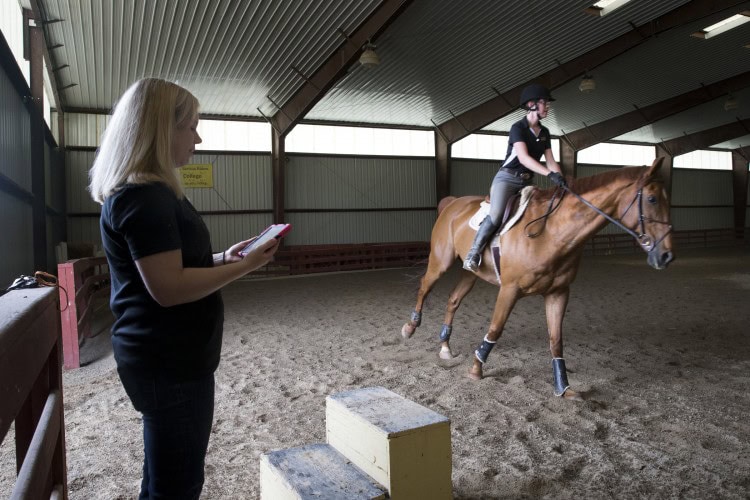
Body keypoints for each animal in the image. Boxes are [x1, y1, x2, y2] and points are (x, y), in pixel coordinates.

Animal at [406, 158, 676, 400]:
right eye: (652, 199)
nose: (666, 256)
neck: (551, 232)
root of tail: (453, 203)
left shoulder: (558, 293)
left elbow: (556, 341)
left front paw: (563, 387)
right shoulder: (509, 290)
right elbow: (495, 328)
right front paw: (476, 368)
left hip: (469, 272)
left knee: (453, 300)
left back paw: (445, 347)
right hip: (441, 261)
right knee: (424, 287)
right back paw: (410, 327)